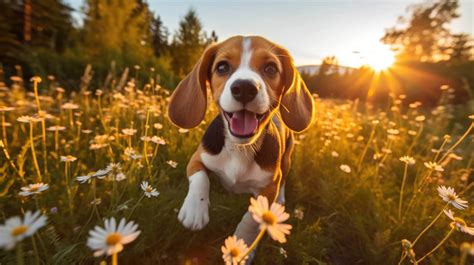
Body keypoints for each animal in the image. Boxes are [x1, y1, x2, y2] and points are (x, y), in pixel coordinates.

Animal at [168, 35, 314, 248]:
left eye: (271, 68)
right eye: (222, 67)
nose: (245, 88)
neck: (239, 148)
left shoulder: (268, 187)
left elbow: (251, 218)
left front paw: (242, 243)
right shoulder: (198, 158)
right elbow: (201, 177)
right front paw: (195, 209)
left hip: (286, 160)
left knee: (284, 180)